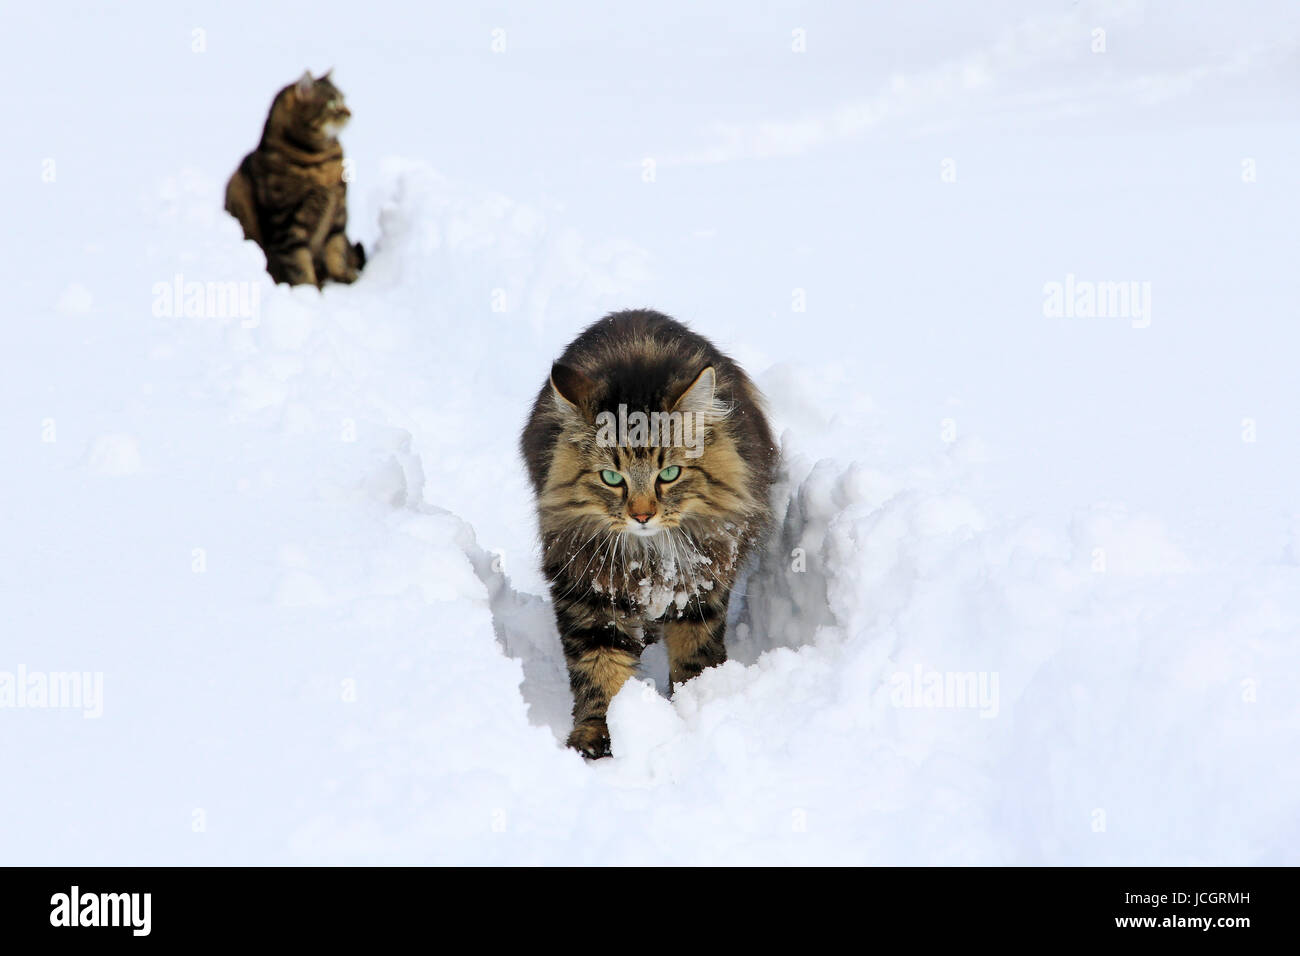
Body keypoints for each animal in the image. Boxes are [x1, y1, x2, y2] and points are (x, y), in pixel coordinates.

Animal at [224, 69, 364, 286]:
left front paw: (343, 276)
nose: (349, 112)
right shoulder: (286, 218)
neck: (321, 161)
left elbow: (335, 246)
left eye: (343, 99)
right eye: (332, 103)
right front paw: (309, 288)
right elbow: (297, 260)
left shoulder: (339, 208)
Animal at [522, 310, 774, 759]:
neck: (650, 553)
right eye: (611, 478)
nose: (642, 514)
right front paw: (595, 737)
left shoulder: (702, 581)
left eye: (669, 473)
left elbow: (695, 653)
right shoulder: (586, 587)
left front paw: (694, 705)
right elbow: (599, 668)